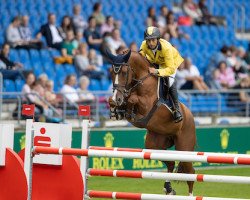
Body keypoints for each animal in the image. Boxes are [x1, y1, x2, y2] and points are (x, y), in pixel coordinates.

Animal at [106, 49, 196, 196]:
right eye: (111, 72)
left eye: (124, 72)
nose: (117, 98)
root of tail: (190, 116)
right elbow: (117, 100)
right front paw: (115, 110)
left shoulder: (148, 105)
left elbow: (133, 99)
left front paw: (125, 107)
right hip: (154, 145)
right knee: (171, 163)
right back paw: (168, 189)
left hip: (184, 147)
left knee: (190, 172)